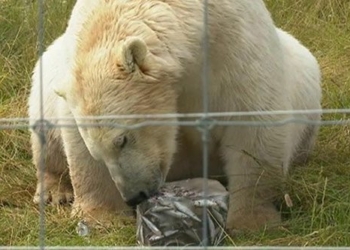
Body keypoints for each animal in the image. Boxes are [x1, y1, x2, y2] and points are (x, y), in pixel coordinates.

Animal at [27, 0, 322, 234]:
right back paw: (53, 191)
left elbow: (252, 124)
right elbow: (78, 145)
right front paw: (101, 217)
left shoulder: (232, 45)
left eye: (123, 139)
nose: (135, 196)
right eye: (99, 150)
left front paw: (253, 221)